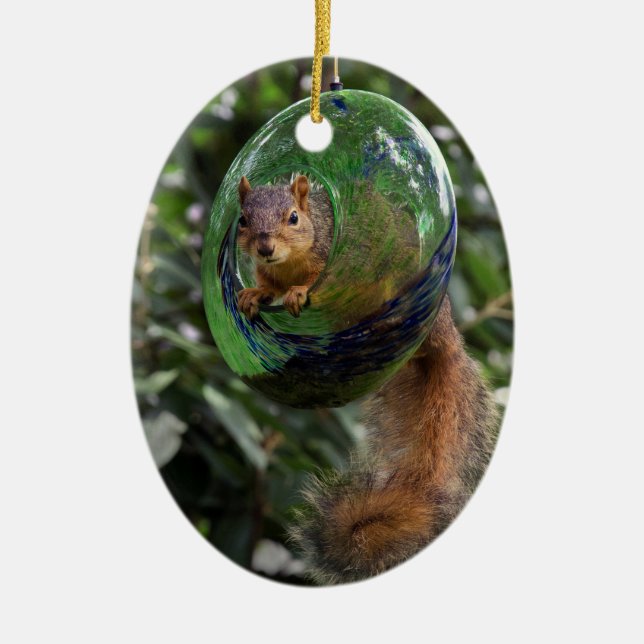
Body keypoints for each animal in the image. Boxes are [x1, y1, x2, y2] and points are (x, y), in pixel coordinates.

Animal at [236, 175, 500, 584]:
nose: (265, 248)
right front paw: (254, 293)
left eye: (293, 217)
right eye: (243, 220)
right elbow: (267, 285)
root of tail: (445, 335)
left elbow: (312, 282)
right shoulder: (270, 270)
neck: (289, 262)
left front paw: (298, 291)